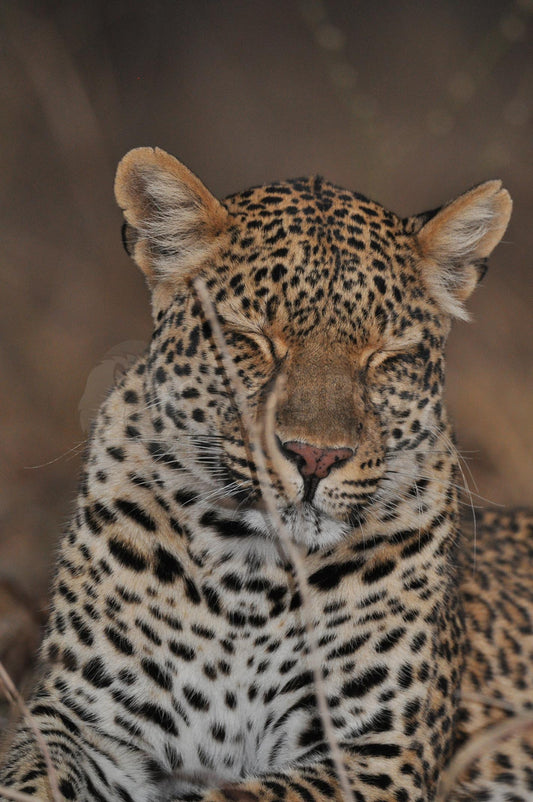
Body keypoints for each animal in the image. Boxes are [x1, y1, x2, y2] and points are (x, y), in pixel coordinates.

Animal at [1, 147, 532, 800]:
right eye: (250, 339)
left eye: (386, 357)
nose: (315, 456)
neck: (247, 578)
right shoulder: (82, 719)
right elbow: (30, 779)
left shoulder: (378, 757)